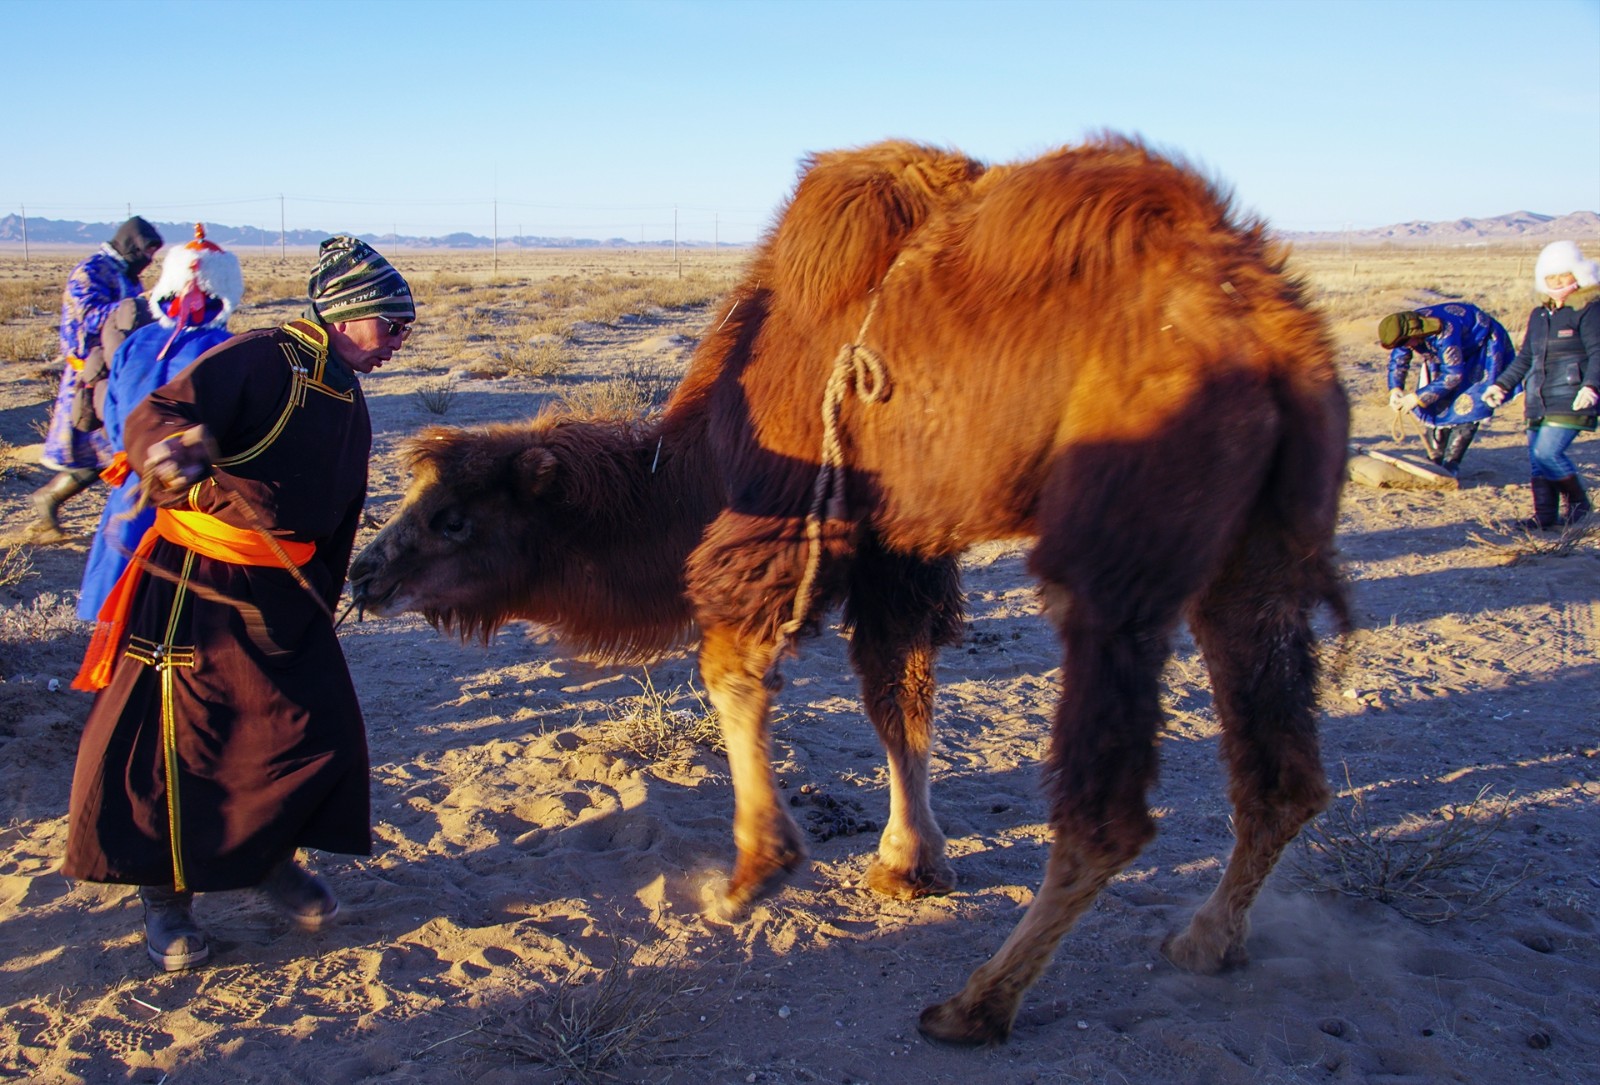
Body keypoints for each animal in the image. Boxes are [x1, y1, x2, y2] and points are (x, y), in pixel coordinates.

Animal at [350, 138, 1350, 1043]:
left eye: (451, 517)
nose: (364, 573)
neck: (700, 452)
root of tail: (1271, 332)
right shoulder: (894, 541)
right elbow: (894, 687)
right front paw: (911, 862)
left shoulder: (786, 513)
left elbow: (735, 669)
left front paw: (752, 873)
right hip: (1256, 550)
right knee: (1280, 771)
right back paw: (1205, 940)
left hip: (1121, 545)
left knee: (1110, 804)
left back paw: (975, 1005)